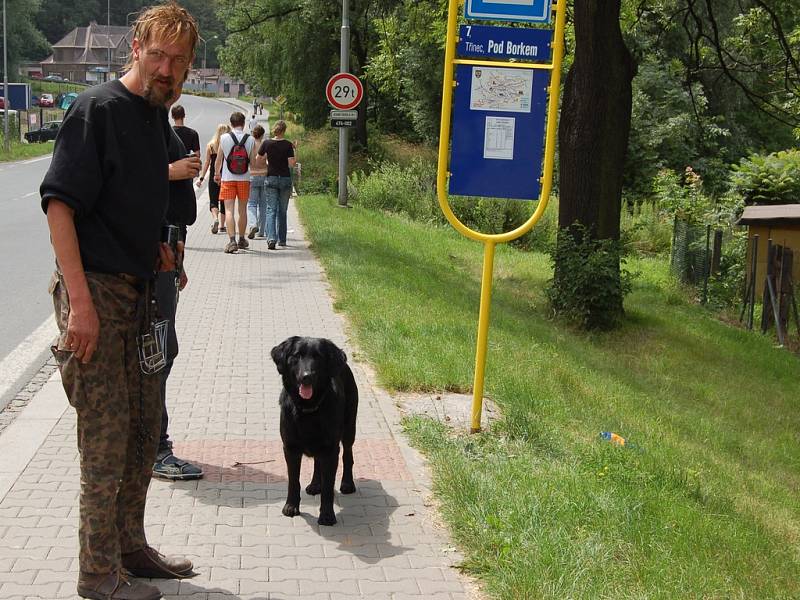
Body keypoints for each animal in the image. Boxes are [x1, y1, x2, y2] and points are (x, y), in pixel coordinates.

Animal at [272, 338, 360, 524]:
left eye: (318, 357)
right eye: (297, 355)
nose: (307, 376)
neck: (308, 409)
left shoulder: (331, 450)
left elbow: (328, 487)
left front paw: (327, 515)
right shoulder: (290, 448)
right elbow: (293, 481)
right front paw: (291, 506)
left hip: (349, 427)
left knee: (348, 455)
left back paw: (347, 483)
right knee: (317, 462)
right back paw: (314, 485)